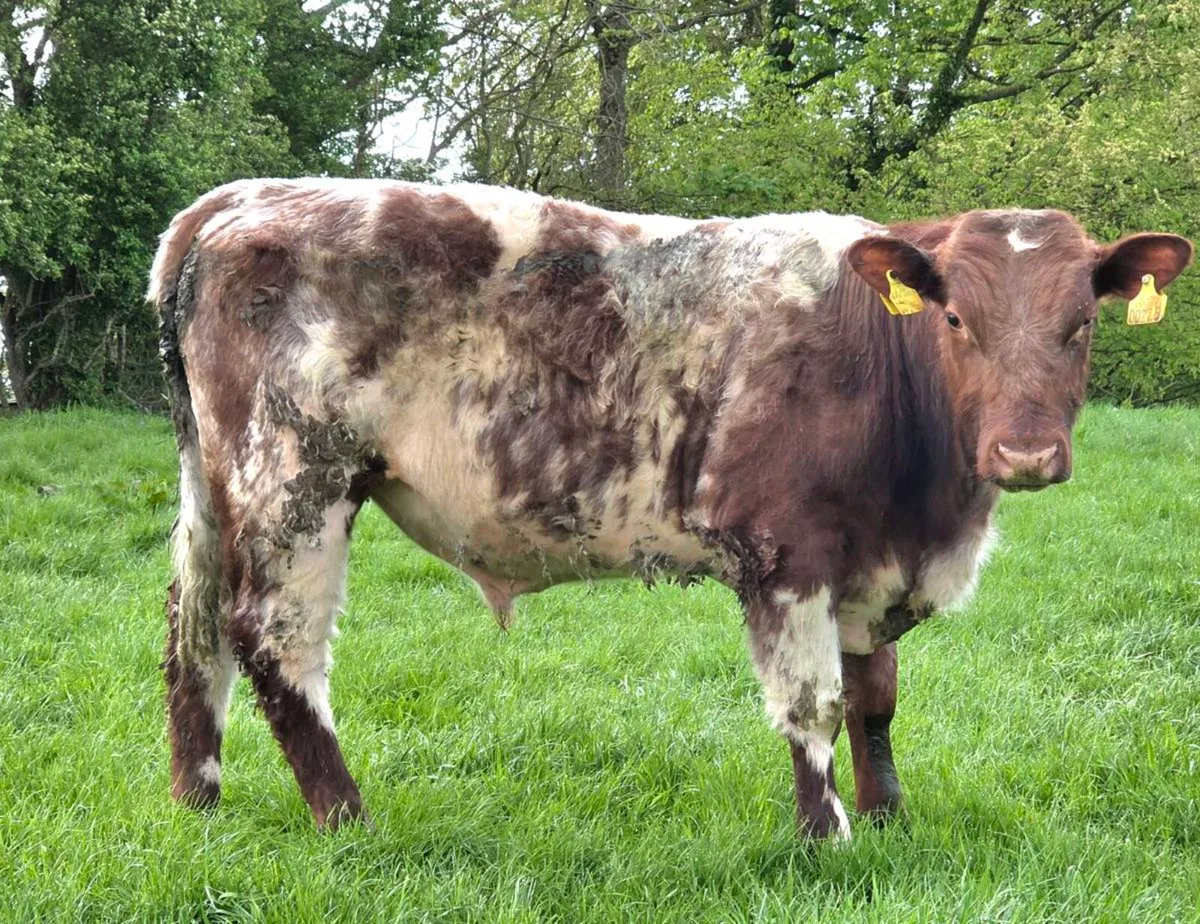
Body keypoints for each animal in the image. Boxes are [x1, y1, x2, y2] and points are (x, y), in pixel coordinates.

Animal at [149, 178, 1192, 838]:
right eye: (956, 320)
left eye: (1081, 324)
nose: (1025, 454)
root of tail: (237, 200)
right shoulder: (788, 554)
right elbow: (814, 705)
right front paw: (831, 836)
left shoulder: (871, 558)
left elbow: (876, 698)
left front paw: (891, 817)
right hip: (295, 483)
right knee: (275, 645)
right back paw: (349, 821)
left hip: (215, 492)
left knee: (192, 631)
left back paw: (199, 799)